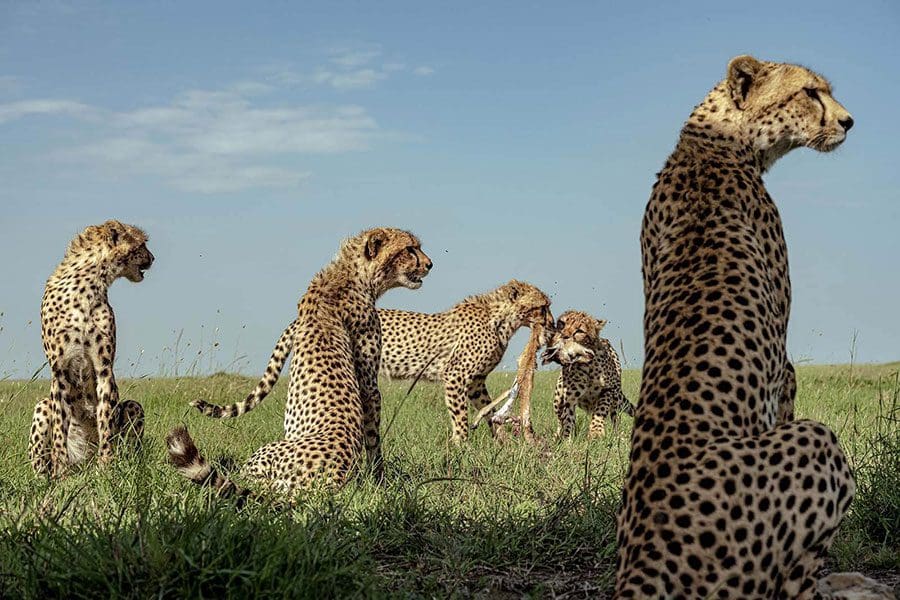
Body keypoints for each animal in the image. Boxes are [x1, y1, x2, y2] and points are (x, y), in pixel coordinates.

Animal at [29, 220, 155, 478]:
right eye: (142, 244)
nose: (153, 258)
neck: (89, 282)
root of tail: (83, 464)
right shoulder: (60, 371)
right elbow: (59, 430)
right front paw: (61, 473)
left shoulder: (104, 368)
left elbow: (105, 421)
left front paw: (106, 468)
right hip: (41, 407)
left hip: (133, 407)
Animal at [172, 227, 436, 494]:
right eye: (409, 249)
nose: (430, 264)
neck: (348, 275)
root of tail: (330, 480)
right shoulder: (368, 383)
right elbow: (373, 436)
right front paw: (379, 479)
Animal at [374, 280, 556, 440]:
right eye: (543, 307)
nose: (552, 324)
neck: (501, 321)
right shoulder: (455, 375)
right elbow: (460, 416)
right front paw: (460, 446)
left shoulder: (477, 381)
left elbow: (488, 409)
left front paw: (504, 441)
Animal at [620, 55, 872, 596]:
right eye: (810, 93)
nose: (848, 122)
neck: (714, 141)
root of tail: (641, 568)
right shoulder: (784, 364)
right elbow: (788, 384)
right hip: (818, 442)